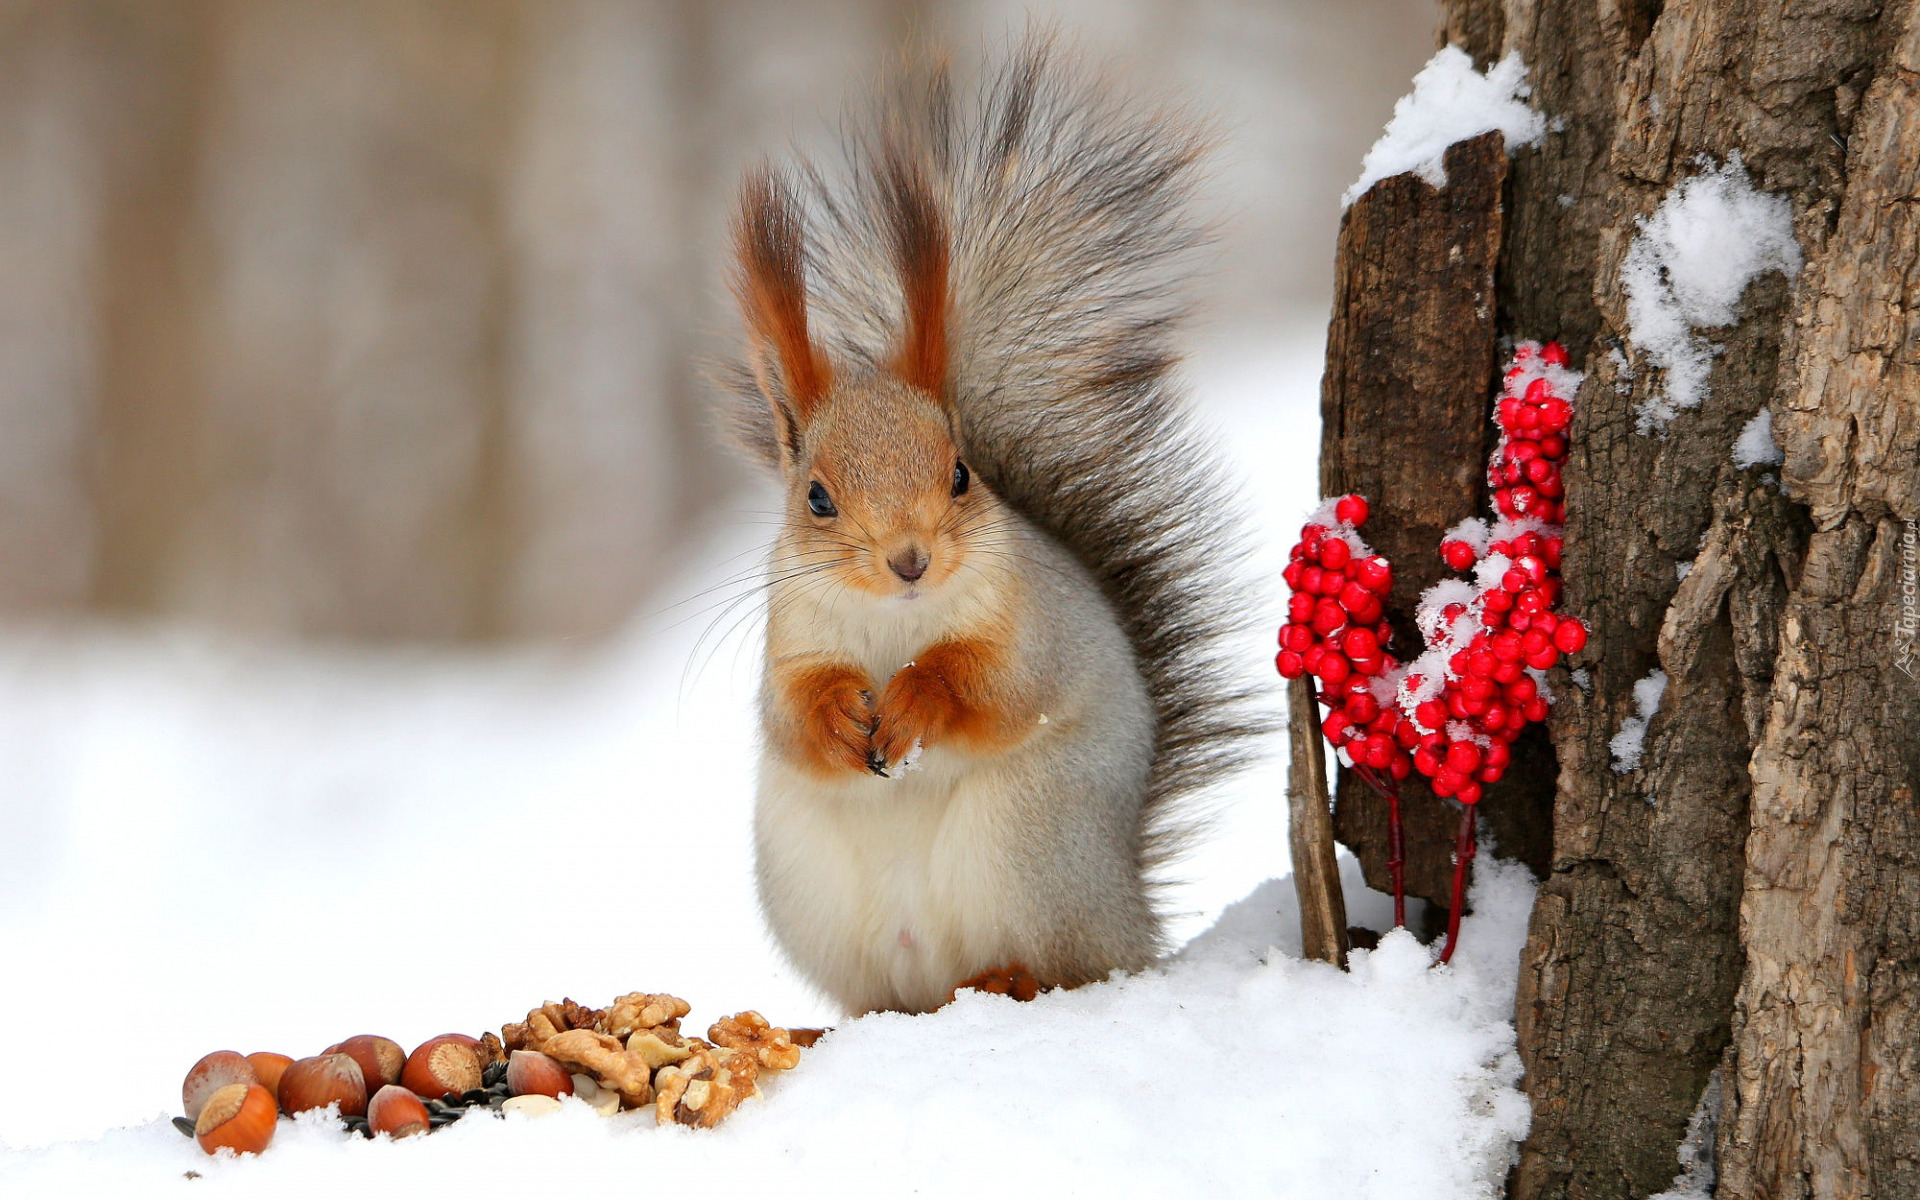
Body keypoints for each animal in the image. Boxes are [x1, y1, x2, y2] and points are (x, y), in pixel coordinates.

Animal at [718, 37, 1259, 1013]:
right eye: (816, 497)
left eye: (961, 474)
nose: (910, 559)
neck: (895, 624)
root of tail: (1130, 912)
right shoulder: (791, 640)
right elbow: (788, 716)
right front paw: (841, 715)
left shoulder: (1031, 626)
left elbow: (1000, 687)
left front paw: (917, 699)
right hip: (808, 885)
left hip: (1031, 839)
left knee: (1066, 965)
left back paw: (1012, 975)